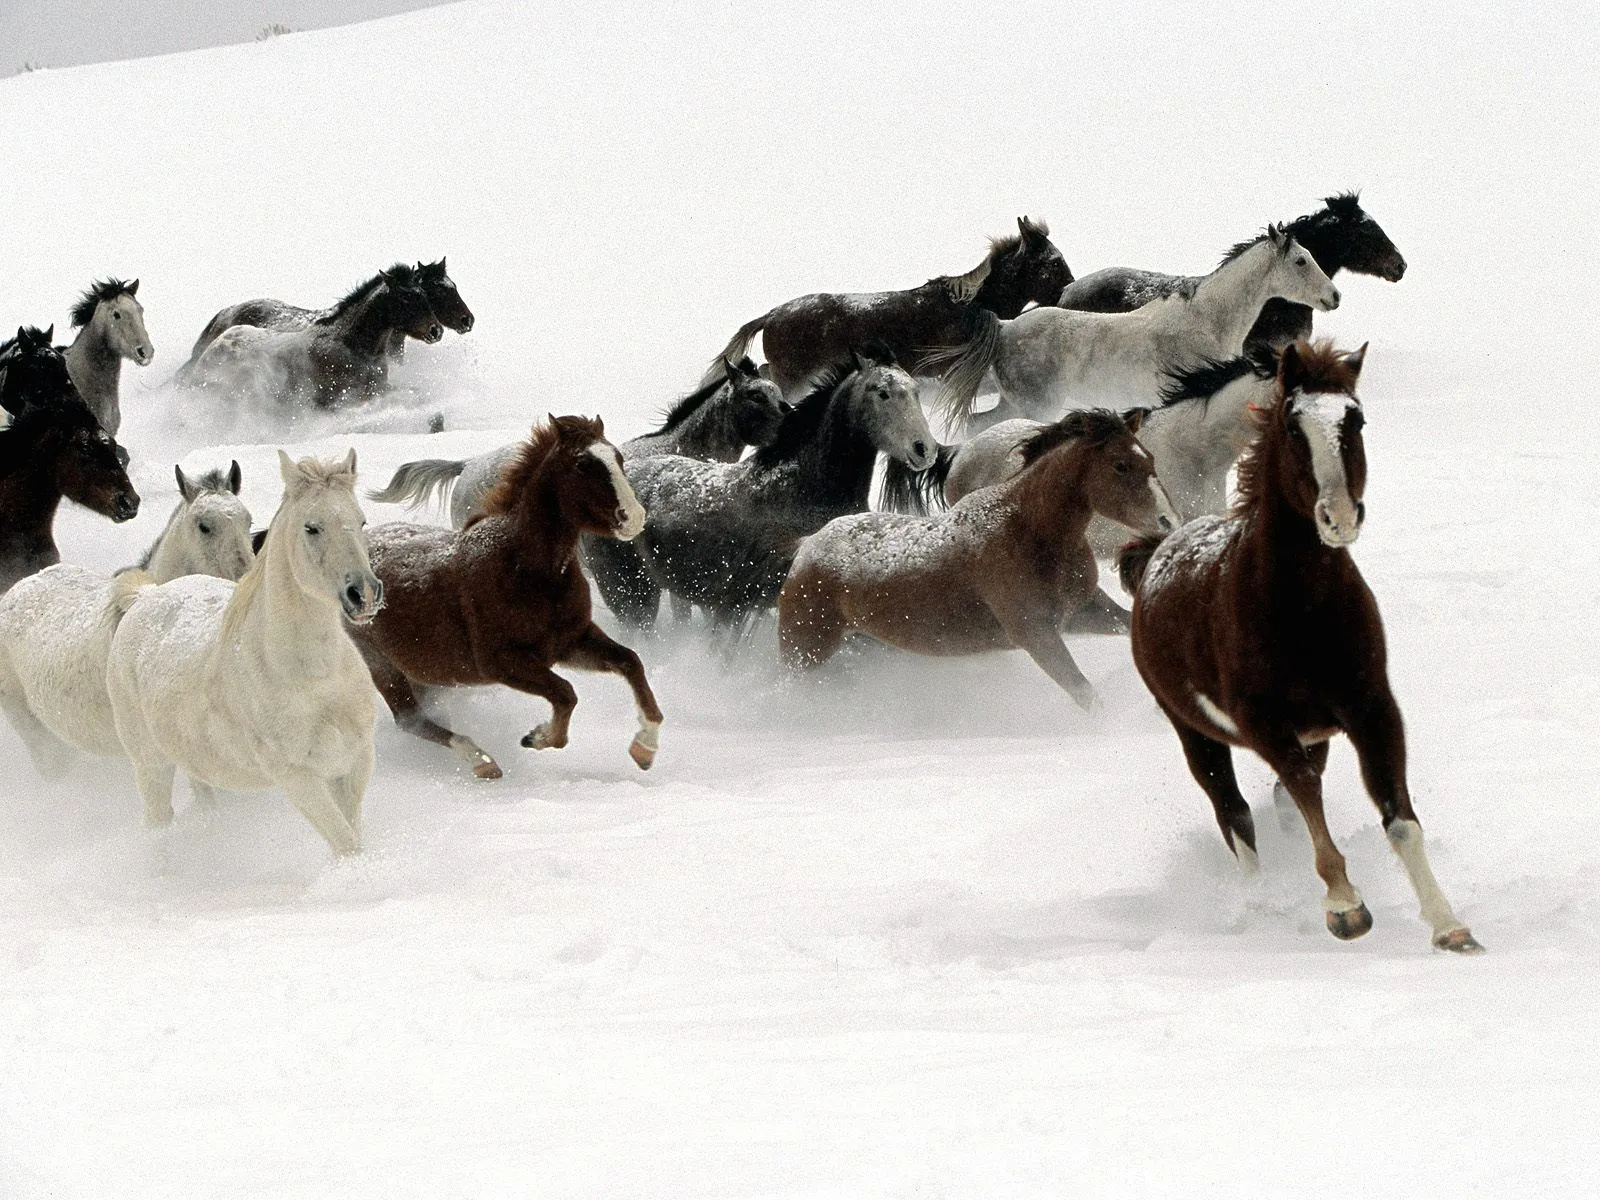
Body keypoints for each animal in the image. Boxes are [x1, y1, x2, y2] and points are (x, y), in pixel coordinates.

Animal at [106, 450, 382, 855]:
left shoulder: (354, 762)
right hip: (150, 764)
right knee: (158, 820)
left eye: (361, 521)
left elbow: (353, 836)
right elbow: (346, 845)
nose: (363, 593)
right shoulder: (299, 777)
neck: (316, 678)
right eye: (311, 528)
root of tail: (145, 596)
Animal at [346, 416, 662, 781]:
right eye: (582, 464)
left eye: (618, 458)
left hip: (424, 674)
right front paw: (538, 738)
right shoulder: (502, 662)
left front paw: (645, 747)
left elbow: (630, 662)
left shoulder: (571, 642)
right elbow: (566, 694)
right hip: (381, 664)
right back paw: (482, 761)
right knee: (410, 720)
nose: (634, 517)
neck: (526, 570)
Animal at [780, 409, 1178, 709]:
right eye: (1120, 465)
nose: (1168, 521)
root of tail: (806, 547)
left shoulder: (1083, 612)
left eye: (1150, 459)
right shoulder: (1036, 633)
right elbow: (1086, 694)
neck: (1029, 531)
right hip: (805, 651)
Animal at [932, 225, 1338, 433]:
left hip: (1015, 404)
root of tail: (1004, 328)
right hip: (1034, 406)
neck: (1206, 322)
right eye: (1301, 261)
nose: (1334, 296)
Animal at [1117, 340, 1481, 954]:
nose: (1340, 517)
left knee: (1277, 804)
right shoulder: (1265, 724)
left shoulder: (1372, 709)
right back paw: (1260, 906)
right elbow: (1305, 795)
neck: (1302, 610)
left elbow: (1398, 815)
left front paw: (1449, 926)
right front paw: (1345, 907)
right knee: (1235, 815)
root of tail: (1155, 551)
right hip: (1194, 733)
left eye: (1355, 419)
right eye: (1292, 426)